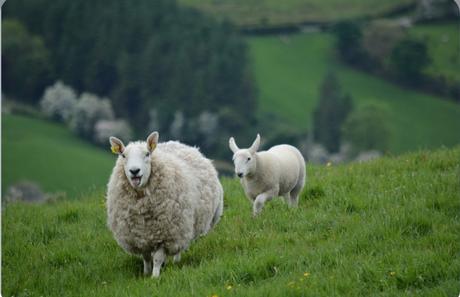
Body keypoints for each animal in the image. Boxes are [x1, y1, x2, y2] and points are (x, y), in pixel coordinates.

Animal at [106, 131, 225, 276]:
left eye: (147, 154)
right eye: (123, 155)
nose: (134, 171)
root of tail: (180, 144)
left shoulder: (166, 234)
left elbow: (157, 258)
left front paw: (155, 276)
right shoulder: (140, 236)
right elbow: (146, 257)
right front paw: (146, 273)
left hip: (184, 225)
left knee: (181, 245)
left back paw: (176, 261)